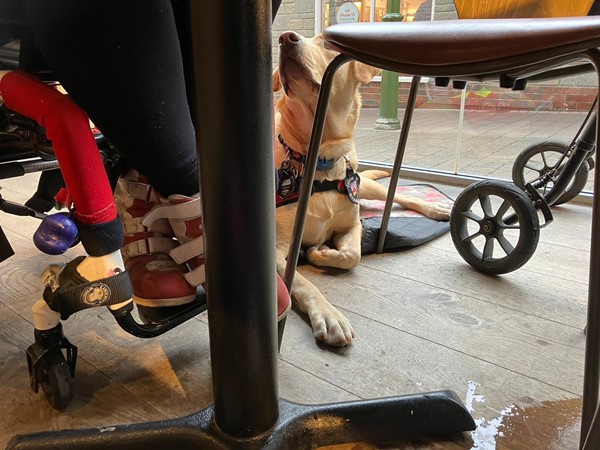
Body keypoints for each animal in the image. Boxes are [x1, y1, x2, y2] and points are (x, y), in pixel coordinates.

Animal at [274, 31, 448, 346]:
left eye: (327, 43)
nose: (285, 38)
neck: (321, 157)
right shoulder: (277, 251)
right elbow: (304, 284)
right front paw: (329, 315)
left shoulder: (351, 225)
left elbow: (352, 255)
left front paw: (320, 253)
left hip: (362, 182)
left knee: (398, 194)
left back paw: (436, 207)